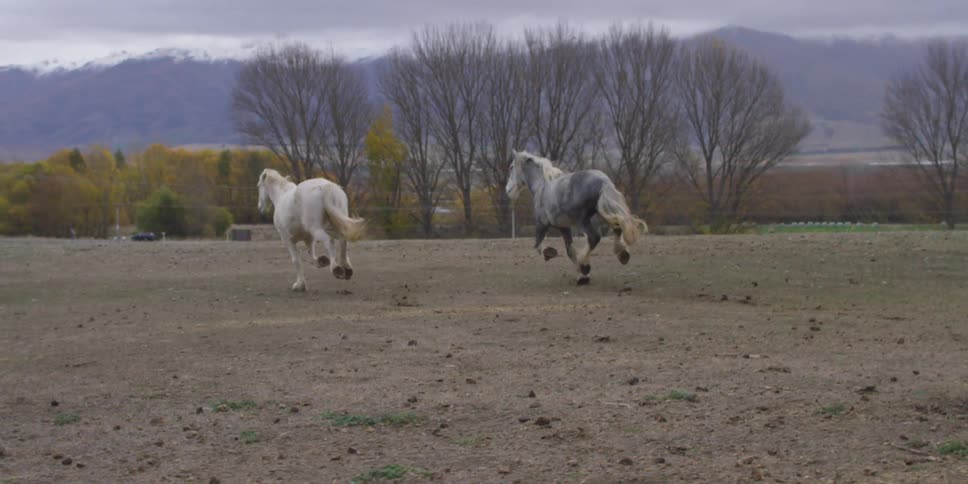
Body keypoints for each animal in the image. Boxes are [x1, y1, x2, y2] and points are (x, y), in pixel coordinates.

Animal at [505, 150, 647, 285]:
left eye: (511, 167)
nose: (507, 190)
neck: (541, 186)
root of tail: (603, 181)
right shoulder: (564, 227)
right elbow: (570, 251)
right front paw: (582, 276)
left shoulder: (542, 224)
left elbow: (538, 245)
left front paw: (550, 253)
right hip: (602, 211)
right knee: (617, 227)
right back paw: (622, 254)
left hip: (583, 220)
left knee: (594, 237)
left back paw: (585, 264)